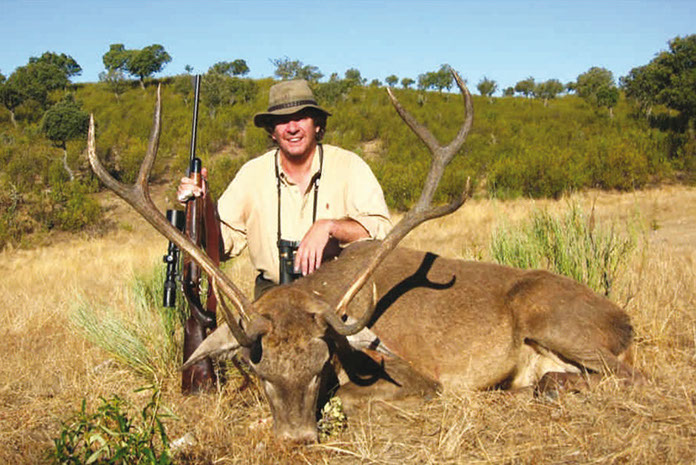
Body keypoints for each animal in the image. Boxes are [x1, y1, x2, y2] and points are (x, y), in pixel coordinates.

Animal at [87, 69, 640, 444]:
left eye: (320, 368)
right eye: (262, 375)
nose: (297, 439)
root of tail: (625, 322)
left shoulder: (420, 378)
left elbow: (352, 396)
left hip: (552, 316)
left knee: (628, 375)